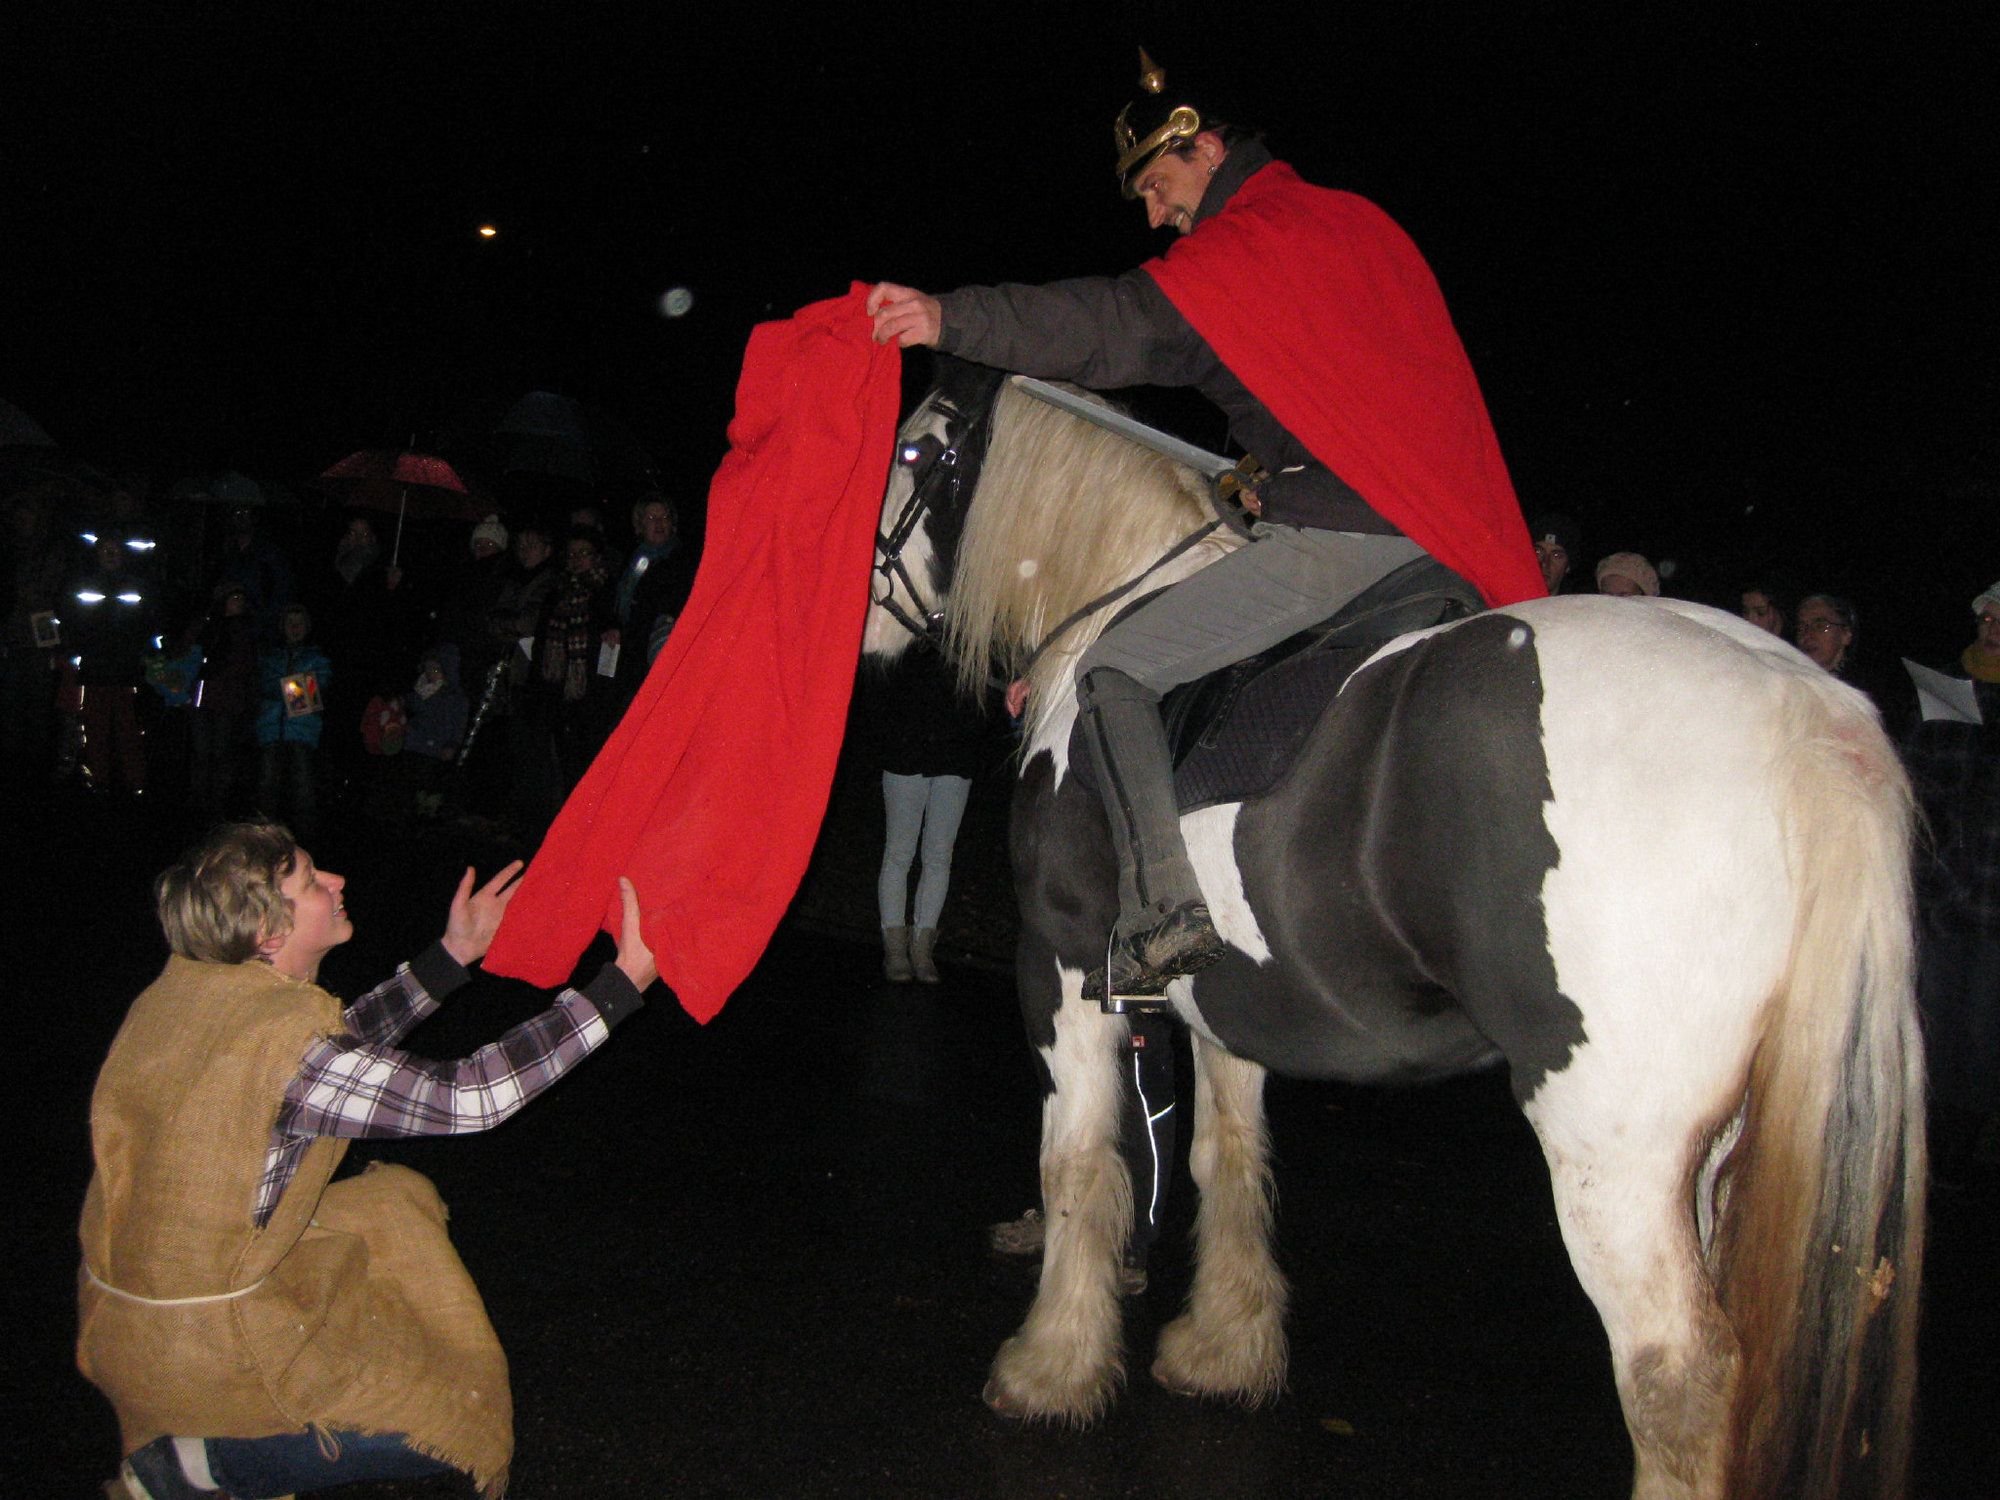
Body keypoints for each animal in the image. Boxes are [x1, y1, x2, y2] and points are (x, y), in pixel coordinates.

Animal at [868, 364, 1928, 1500]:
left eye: (912, 452)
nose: (865, 619)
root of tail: (1804, 709)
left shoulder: (1059, 971)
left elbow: (1076, 1163)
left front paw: (1050, 1367)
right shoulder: (1226, 1004)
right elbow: (1226, 1159)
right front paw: (1224, 1347)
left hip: (1613, 1142)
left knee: (1676, 1376)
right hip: (1719, 1139)